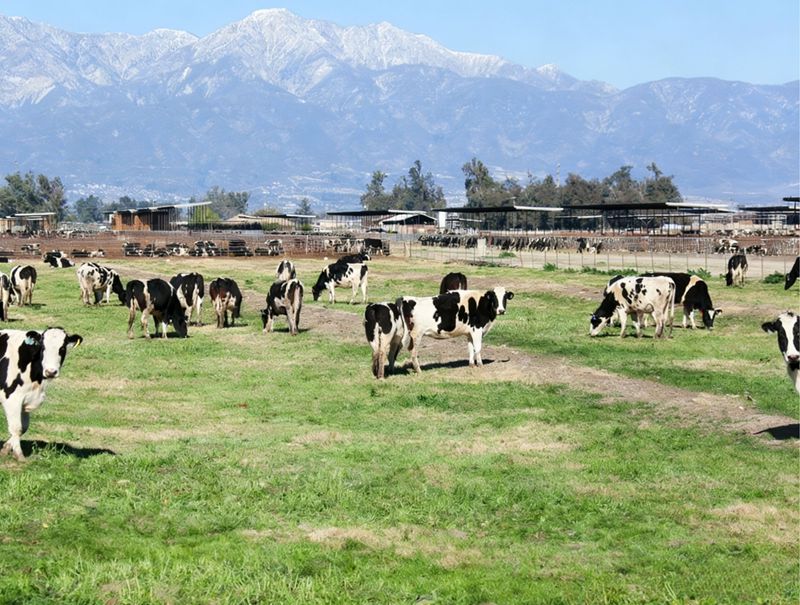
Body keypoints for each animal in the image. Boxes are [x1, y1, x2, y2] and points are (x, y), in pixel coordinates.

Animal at [0, 328, 83, 461]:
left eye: (62, 348)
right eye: (42, 347)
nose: (51, 372)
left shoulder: (26, 398)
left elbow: (24, 428)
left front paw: (5, 448)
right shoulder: (12, 398)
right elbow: (16, 428)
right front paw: (19, 455)